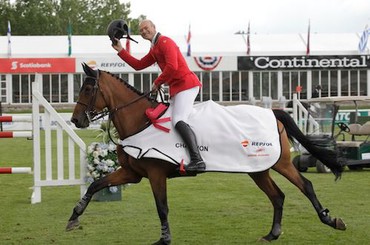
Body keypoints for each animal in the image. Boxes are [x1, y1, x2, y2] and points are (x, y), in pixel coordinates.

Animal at [67, 64, 346, 244]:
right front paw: (74, 217)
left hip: (280, 163)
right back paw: (272, 234)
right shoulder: (131, 173)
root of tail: (272, 112)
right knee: (277, 196)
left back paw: (331, 220)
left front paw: (164, 239)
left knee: (305, 185)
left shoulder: (156, 174)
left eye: (87, 90)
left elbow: (162, 207)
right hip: (257, 170)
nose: (75, 120)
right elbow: (95, 185)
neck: (141, 121)